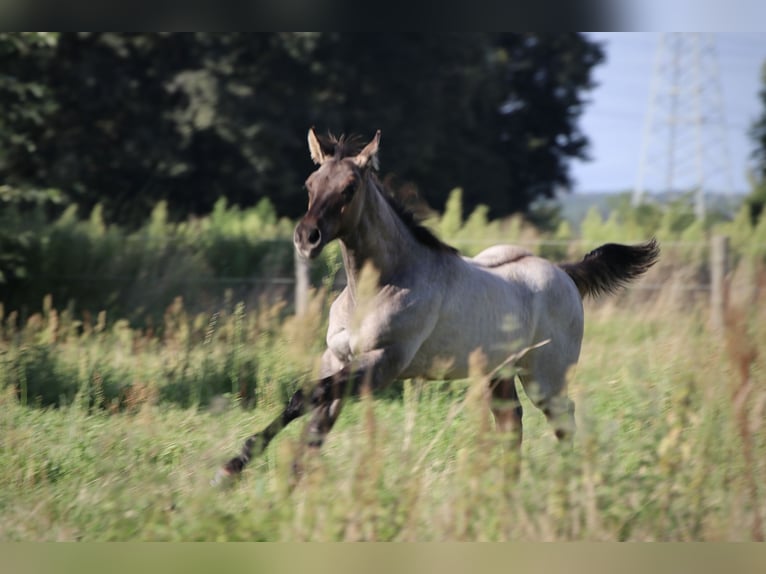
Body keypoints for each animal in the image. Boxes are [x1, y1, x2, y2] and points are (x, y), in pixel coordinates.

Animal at [214, 128, 660, 484]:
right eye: (310, 184)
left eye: (349, 188)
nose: (307, 238)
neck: (378, 287)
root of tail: (565, 273)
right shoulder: (337, 359)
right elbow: (311, 422)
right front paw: (256, 478)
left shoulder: (381, 365)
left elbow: (303, 398)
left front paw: (232, 468)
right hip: (499, 374)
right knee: (511, 423)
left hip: (545, 378)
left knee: (563, 420)